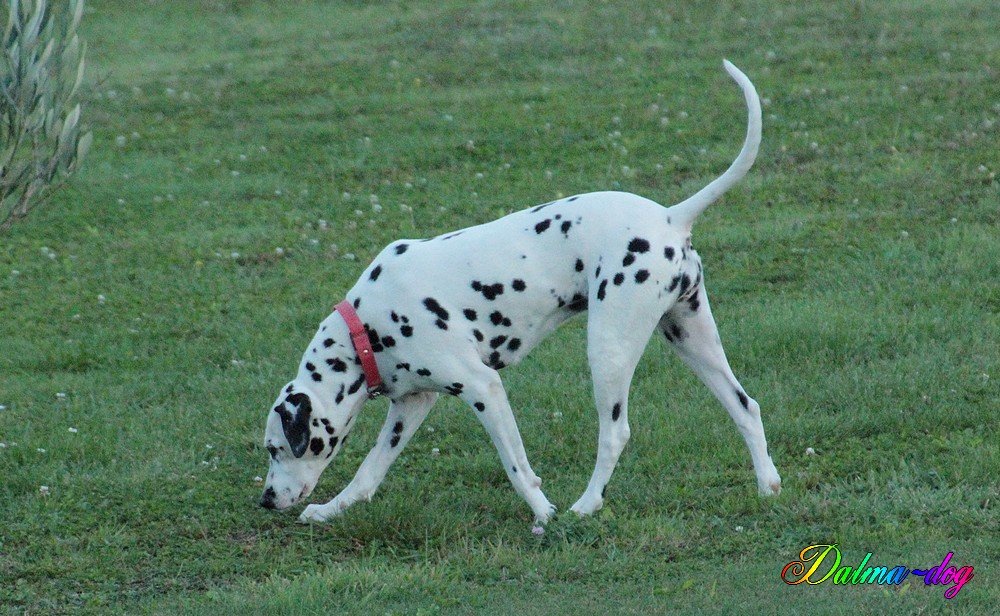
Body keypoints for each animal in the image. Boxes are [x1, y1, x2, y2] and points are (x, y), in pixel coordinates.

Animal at [264, 60, 780, 524]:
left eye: (275, 448)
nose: (266, 499)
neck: (366, 327)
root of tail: (671, 216)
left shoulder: (483, 388)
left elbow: (516, 468)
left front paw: (542, 514)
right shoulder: (411, 406)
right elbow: (369, 472)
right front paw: (330, 510)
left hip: (608, 352)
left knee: (615, 434)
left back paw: (586, 505)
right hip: (691, 339)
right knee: (746, 407)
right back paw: (767, 486)